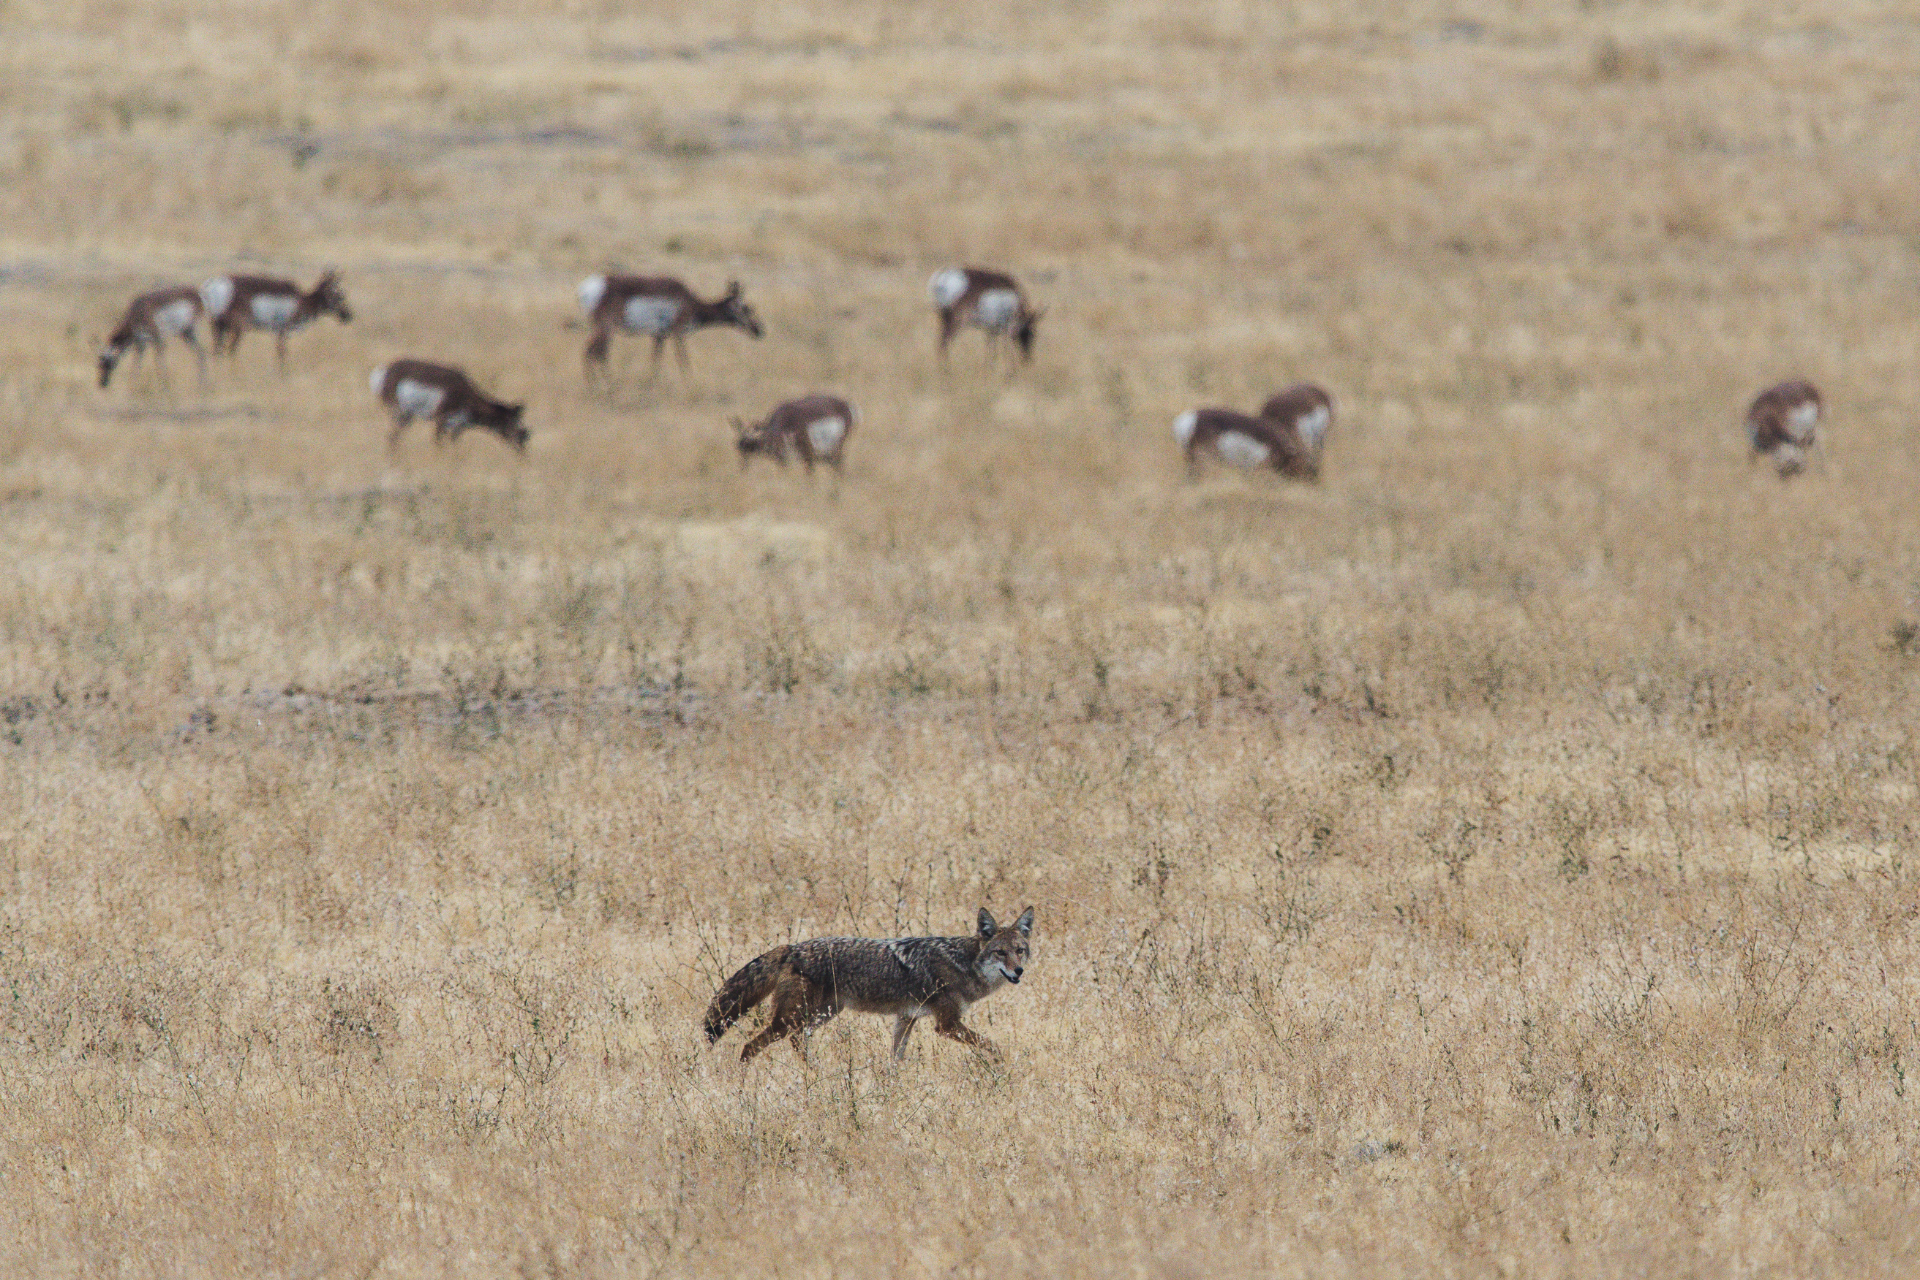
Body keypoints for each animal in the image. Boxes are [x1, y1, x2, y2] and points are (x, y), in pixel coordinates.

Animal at [201, 270, 353, 370]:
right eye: (341, 295)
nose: (349, 315)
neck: (302, 300)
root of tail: (215, 282)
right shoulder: (282, 332)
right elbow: (282, 353)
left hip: (217, 326)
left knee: (216, 350)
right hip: (236, 329)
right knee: (230, 351)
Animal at [370, 360, 526, 454]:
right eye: (522, 432)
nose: (522, 454)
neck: (466, 395)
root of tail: (383, 371)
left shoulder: (456, 430)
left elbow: (454, 448)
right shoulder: (440, 422)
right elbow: (437, 444)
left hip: (406, 416)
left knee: (393, 437)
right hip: (400, 413)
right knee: (392, 436)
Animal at [576, 278, 764, 378]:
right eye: (746, 308)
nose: (760, 330)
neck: (691, 303)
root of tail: (587, 288)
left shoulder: (659, 336)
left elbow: (656, 360)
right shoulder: (678, 334)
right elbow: (683, 359)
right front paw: (690, 383)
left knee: (597, 352)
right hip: (604, 328)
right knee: (590, 350)